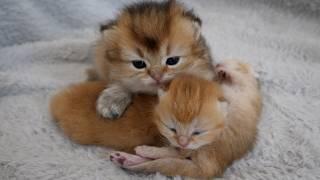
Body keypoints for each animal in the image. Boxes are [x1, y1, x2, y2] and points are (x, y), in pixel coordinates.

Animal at [110, 60, 262, 179]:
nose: (218, 64)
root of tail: (212, 168)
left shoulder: (246, 89)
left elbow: (237, 77)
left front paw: (224, 72)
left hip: (212, 137)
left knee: (181, 153)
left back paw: (143, 152)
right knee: (178, 153)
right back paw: (127, 159)